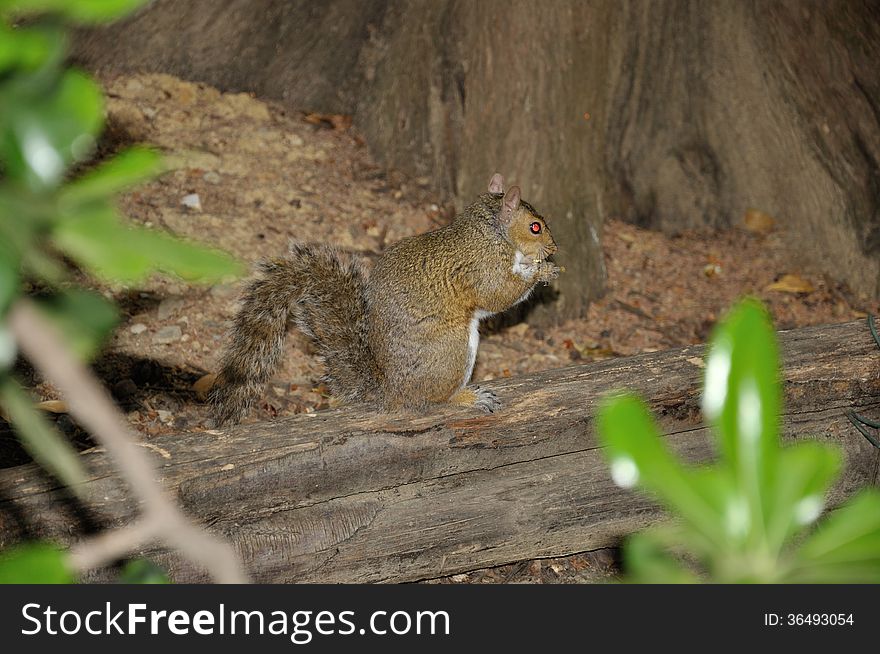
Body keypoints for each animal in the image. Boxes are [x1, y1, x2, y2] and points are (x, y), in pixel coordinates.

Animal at [210, 174, 560, 428]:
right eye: (535, 227)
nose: (554, 248)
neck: (491, 233)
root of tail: (391, 390)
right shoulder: (482, 267)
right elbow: (499, 294)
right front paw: (541, 272)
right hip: (452, 352)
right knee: (435, 399)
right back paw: (467, 399)